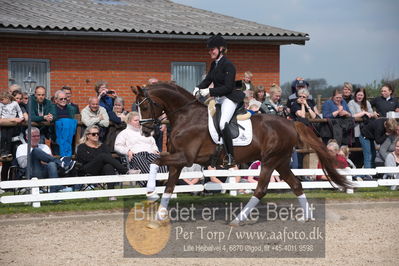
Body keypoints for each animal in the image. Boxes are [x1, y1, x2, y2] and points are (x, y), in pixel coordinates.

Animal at [133, 82, 352, 224]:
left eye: (145, 106)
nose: (145, 131)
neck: (186, 116)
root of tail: (290, 123)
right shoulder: (178, 161)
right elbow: (169, 187)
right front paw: (158, 216)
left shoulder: (184, 158)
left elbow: (154, 161)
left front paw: (151, 191)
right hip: (280, 162)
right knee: (296, 184)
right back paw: (306, 217)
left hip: (270, 160)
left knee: (261, 189)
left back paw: (238, 220)